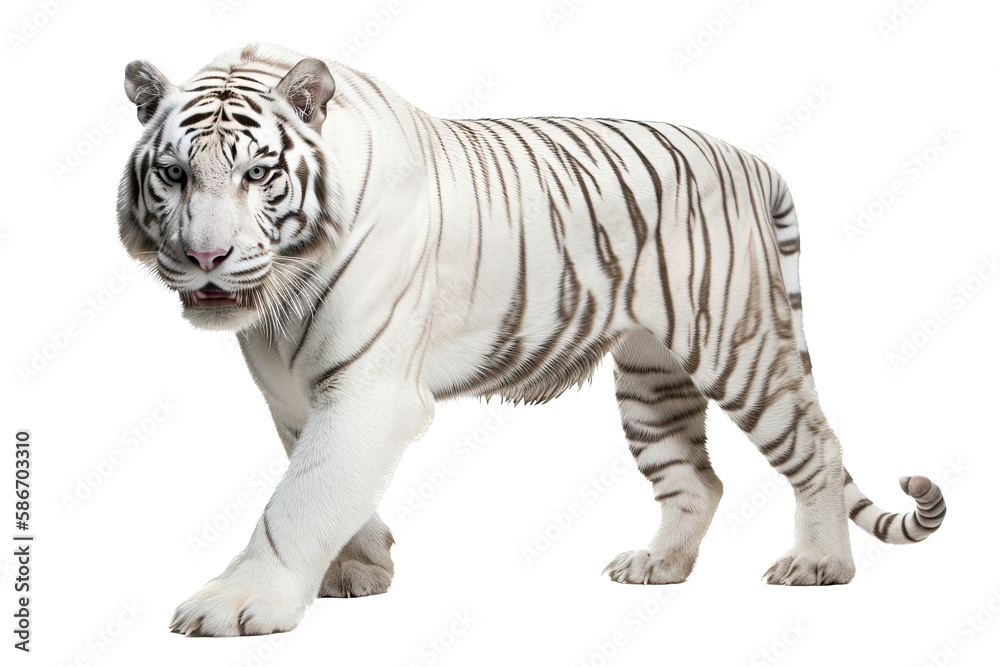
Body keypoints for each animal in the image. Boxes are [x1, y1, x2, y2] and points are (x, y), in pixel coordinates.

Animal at [117, 43, 946, 637]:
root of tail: (752, 159)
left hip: (737, 346)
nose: (206, 257)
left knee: (817, 445)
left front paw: (239, 601)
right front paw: (362, 568)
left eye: (259, 174)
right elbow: (321, 479)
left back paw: (819, 564)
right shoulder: (293, 393)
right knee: (697, 479)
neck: (279, 293)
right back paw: (659, 565)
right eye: (174, 174)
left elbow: (299, 496)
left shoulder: (370, 388)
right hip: (651, 375)